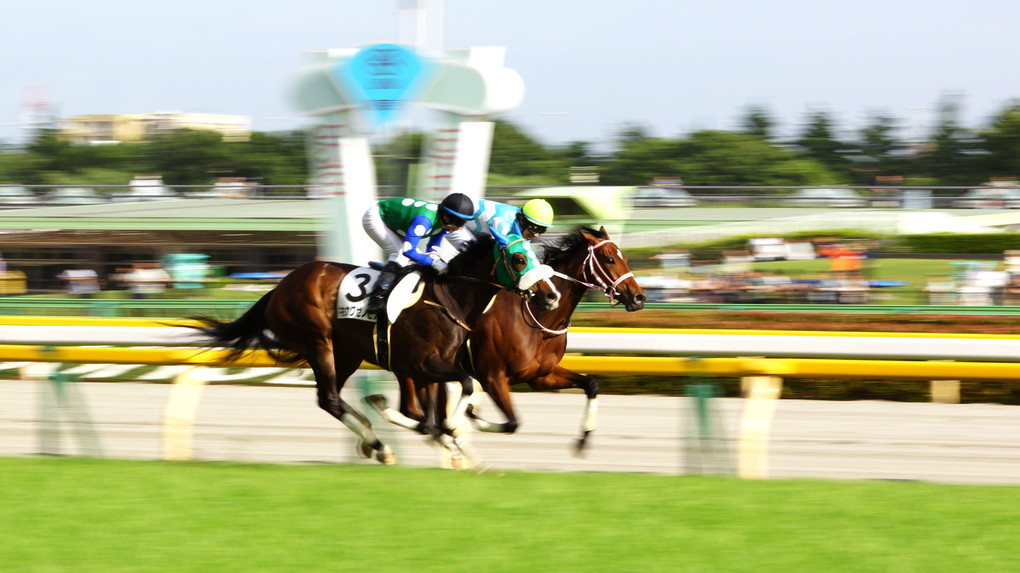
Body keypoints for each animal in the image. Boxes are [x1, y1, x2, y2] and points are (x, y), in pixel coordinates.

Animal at [187, 236, 563, 464]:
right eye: (519, 259)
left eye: (537, 256)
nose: (551, 295)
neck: (449, 298)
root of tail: (279, 287)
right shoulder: (424, 364)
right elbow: (463, 390)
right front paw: (455, 433)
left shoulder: (426, 367)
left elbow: (432, 415)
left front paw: (454, 441)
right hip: (319, 343)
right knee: (329, 398)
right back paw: (380, 445)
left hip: (347, 354)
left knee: (333, 398)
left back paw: (371, 436)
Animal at [371, 225, 644, 452]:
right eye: (610, 259)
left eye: (624, 258)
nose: (639, 297)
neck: (540, 321)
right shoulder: (493, 376)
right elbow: (512, 422)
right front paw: (469, 417)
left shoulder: (542, 376)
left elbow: (591, 384)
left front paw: (583, 440)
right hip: (412, 364)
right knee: (414, 410)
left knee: (415, 411)